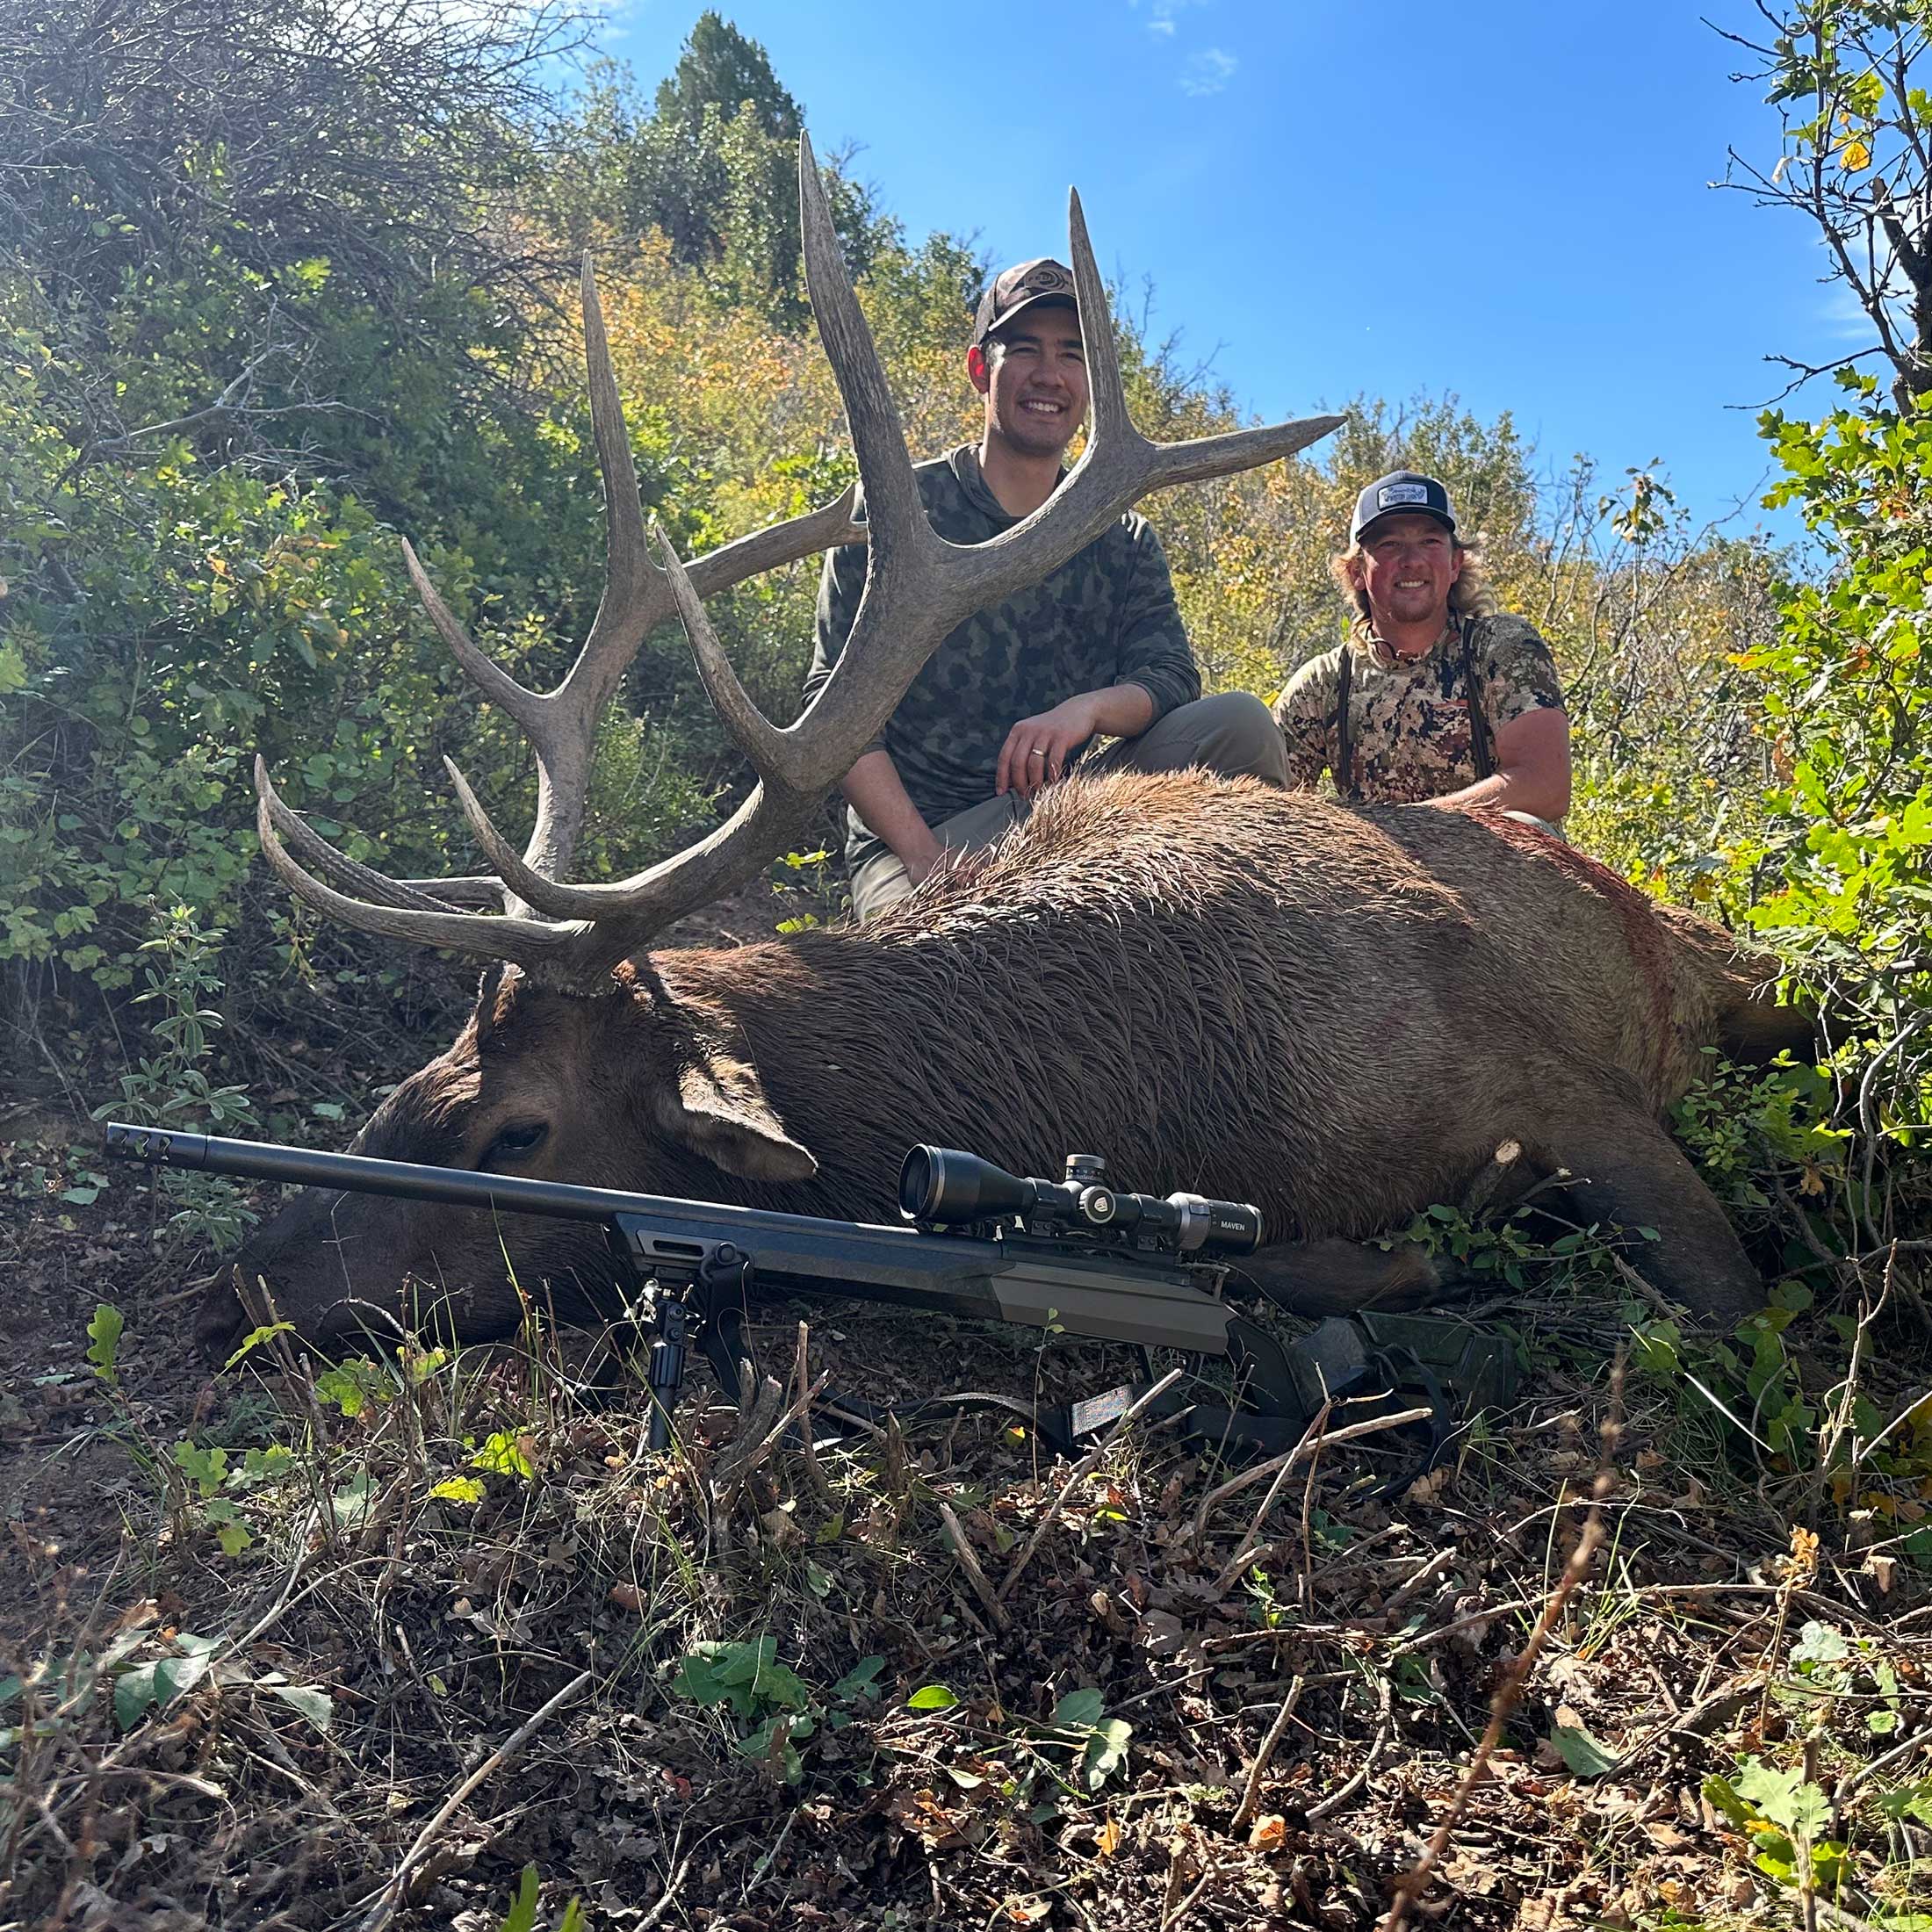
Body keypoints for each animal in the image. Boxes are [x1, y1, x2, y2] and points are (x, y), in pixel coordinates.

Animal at [197, 137, 1806, 1364]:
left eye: (518, 1133)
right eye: (414, 1073)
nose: (241, 1277)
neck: (1176, 1090)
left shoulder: (1557, 1080)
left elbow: (1724, 1294)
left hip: (1738, 964)